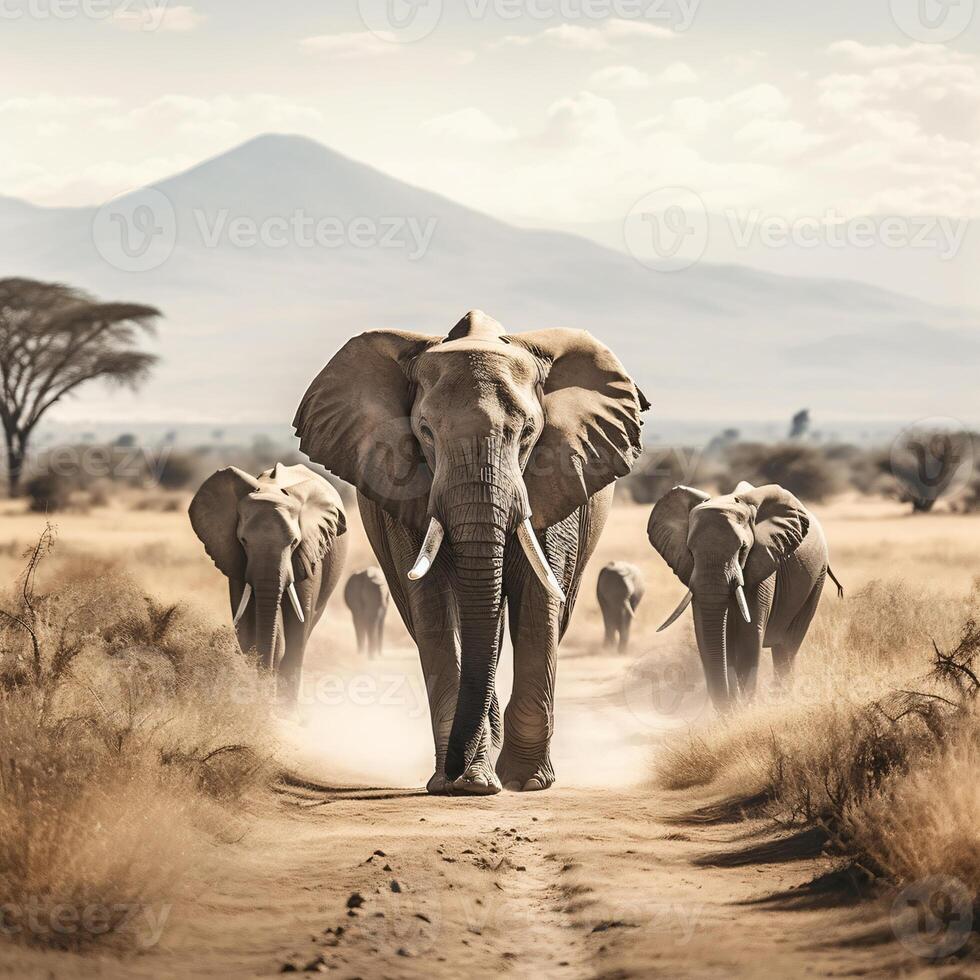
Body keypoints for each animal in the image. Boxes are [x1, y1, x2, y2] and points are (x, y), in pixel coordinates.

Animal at [189, 462, 348, 700]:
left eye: (294, 542)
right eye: (243, 540)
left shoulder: (310, 554)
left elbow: (297, 626)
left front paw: (282, 706)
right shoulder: (236, 560)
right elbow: (247, 623)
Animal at [294, 314, 648, 796]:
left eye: (528, 433)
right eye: (425, 432)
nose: (458, 772)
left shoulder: (557, 475)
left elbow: (538, 600)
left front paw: (525, 782)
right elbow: (435, 607)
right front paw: (462, 783)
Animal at [652, 482, 844, 712]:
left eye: (743, 548)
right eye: (690, 550)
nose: (726, 707)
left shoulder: (765, 562)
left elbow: (749, 633)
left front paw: (744, 710)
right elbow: (708, 635)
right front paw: (733, 710)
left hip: (817, 577)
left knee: (788, 646)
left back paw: (782, 699)